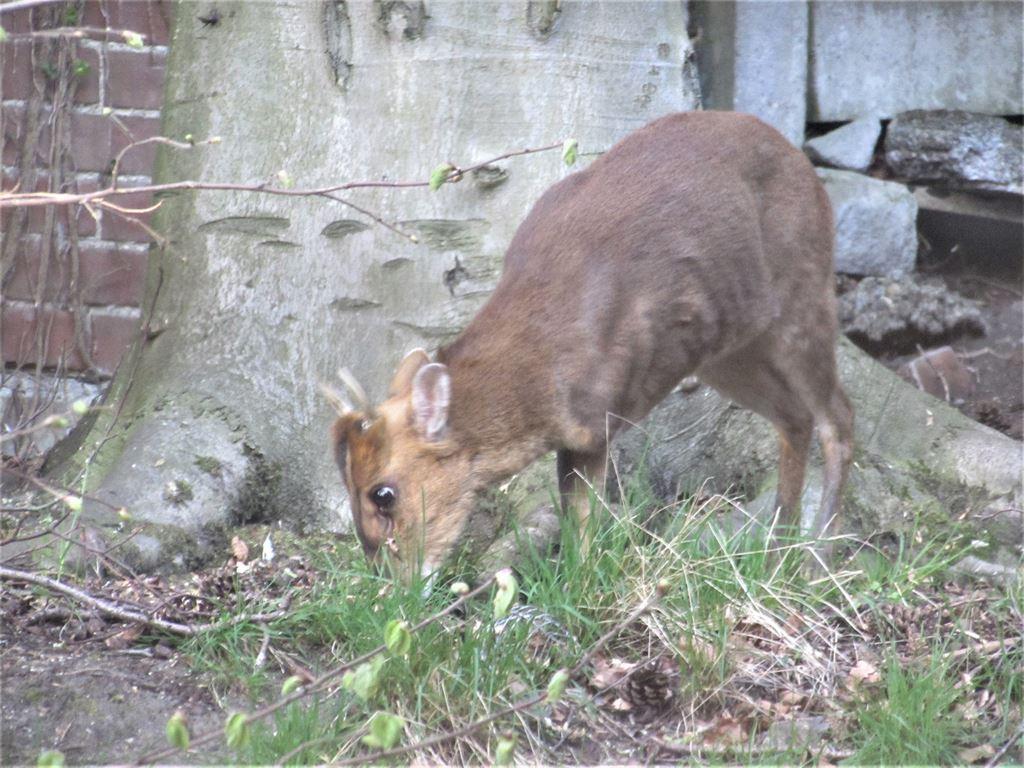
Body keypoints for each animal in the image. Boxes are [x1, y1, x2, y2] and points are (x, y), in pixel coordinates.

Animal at [328, 111, 854, 583]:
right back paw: (778, 558)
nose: (389, 585)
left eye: (382, 494)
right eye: (347, 483)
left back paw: (817, 564)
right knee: (794, 417)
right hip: (728, 349)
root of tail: (807, 168)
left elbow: (585, 527)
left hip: (804, 293)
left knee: (838, 417)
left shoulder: (596, 417)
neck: (542, 365)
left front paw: (579, 590)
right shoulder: (573, 435)